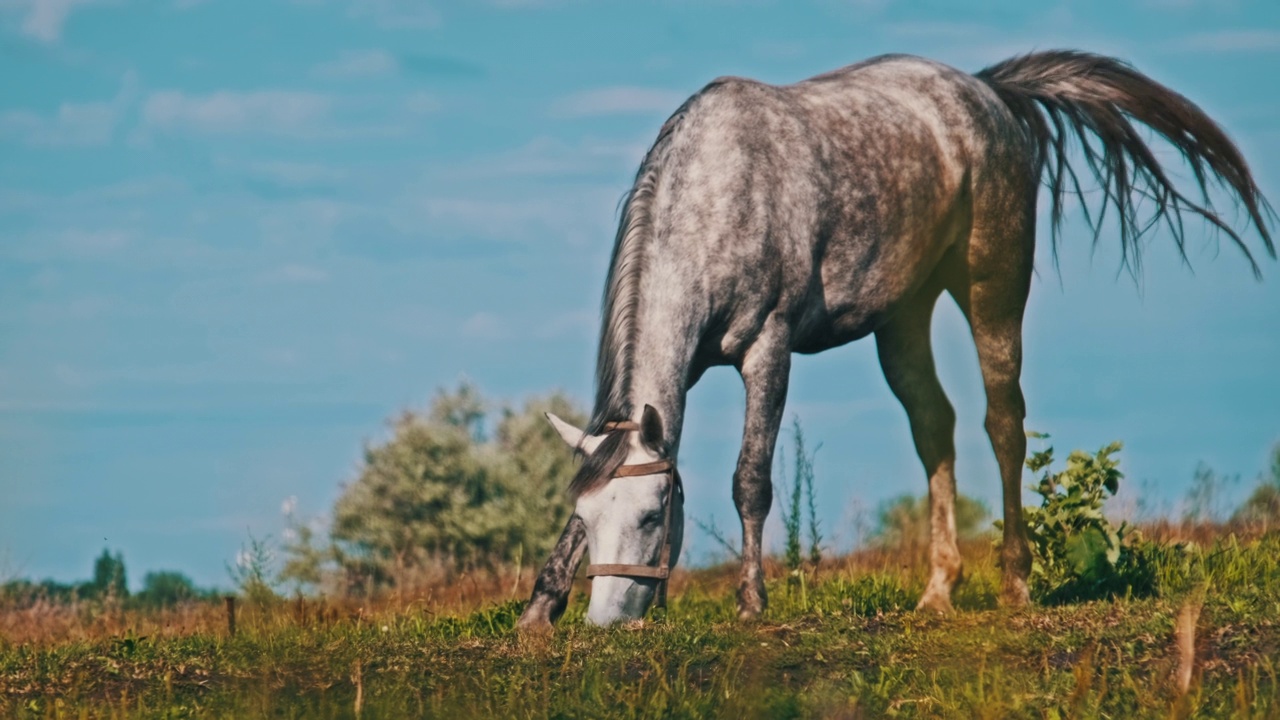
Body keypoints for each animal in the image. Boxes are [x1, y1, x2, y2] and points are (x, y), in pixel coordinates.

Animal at [509, 47, 1269, 625]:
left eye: (650, 515)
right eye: (589, 516)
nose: (606, 621)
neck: (720, 193)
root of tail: (988, 94)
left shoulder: (768, 350)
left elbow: (751, 478)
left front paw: (752, 601)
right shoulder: (684, 375)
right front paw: (539, 609)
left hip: (992, 289)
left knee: (1004, 424)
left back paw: (1014, 583)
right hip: (904, 318)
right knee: (937, 426)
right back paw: (939, 590)